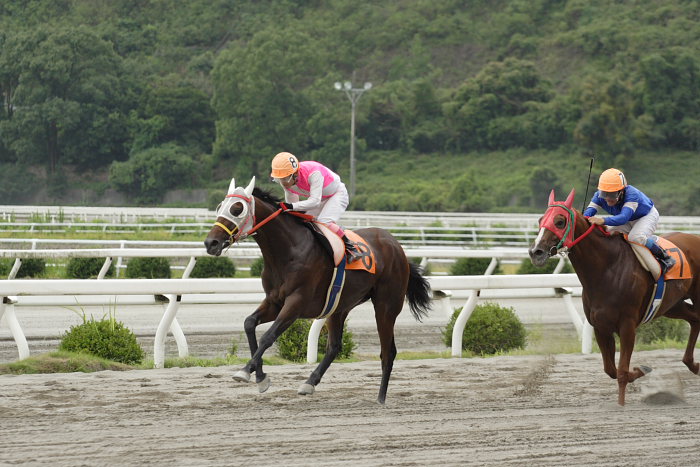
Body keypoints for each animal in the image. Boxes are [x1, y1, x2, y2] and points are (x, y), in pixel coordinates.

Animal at [202, 177, 432, 404]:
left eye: (237, 209)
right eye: (220, 207)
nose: (210, 242)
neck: (288, 252)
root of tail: (396, 246)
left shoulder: (296, 303)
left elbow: (268, 336)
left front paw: (245, 371)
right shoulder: (274, 302)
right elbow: (249, 323)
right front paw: (260, 377)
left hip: (386, 306)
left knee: (388, 352)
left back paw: (381, 398)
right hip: (340, 307)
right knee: (335, 347)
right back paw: (309, 383)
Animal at [532, 190, 700, 406]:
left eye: (560, 221)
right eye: (540, 220)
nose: (535, 252)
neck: (607, 269)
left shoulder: (627, 325)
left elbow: (621, 371)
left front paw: (622, 403)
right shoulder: (600, 327)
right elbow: (611, 369)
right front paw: (640, 370)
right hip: (672, 305)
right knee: (695, 319)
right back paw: (693, 365)